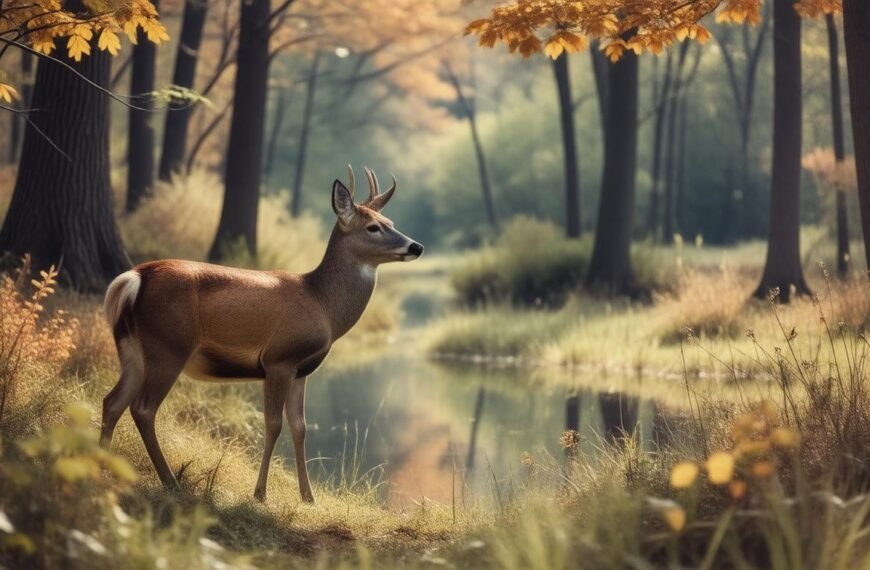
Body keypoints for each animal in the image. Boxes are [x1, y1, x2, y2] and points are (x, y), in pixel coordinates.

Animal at [100, 167, 423, 503]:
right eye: (373, 227)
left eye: (390, 222)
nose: (416, 247)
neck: (323, 303)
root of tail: (134, 278)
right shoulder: (279, 358)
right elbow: (273, 424)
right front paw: (260, 493)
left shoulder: (301, 370)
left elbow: (300, 427)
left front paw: (308, 496)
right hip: (168, 346)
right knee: (143, 408)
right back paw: (170, 481)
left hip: (132, 348)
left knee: (112, 402)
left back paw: (102, 467)